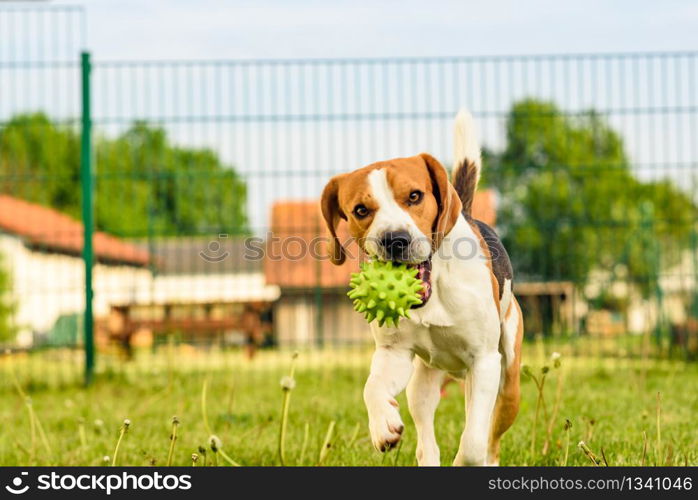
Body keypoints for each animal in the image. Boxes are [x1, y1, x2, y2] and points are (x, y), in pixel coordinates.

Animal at [318, 109, 520, 464]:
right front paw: (382, 424)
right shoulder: (394, 353)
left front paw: (465, 459)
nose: (395, 240)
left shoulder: (484, 361)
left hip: (507, 381)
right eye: (361, 210)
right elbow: (372, 387)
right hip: (422, 385)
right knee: (426, 438)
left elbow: (473, 445)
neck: (434, 294)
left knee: (491, 439)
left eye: (414, 196)